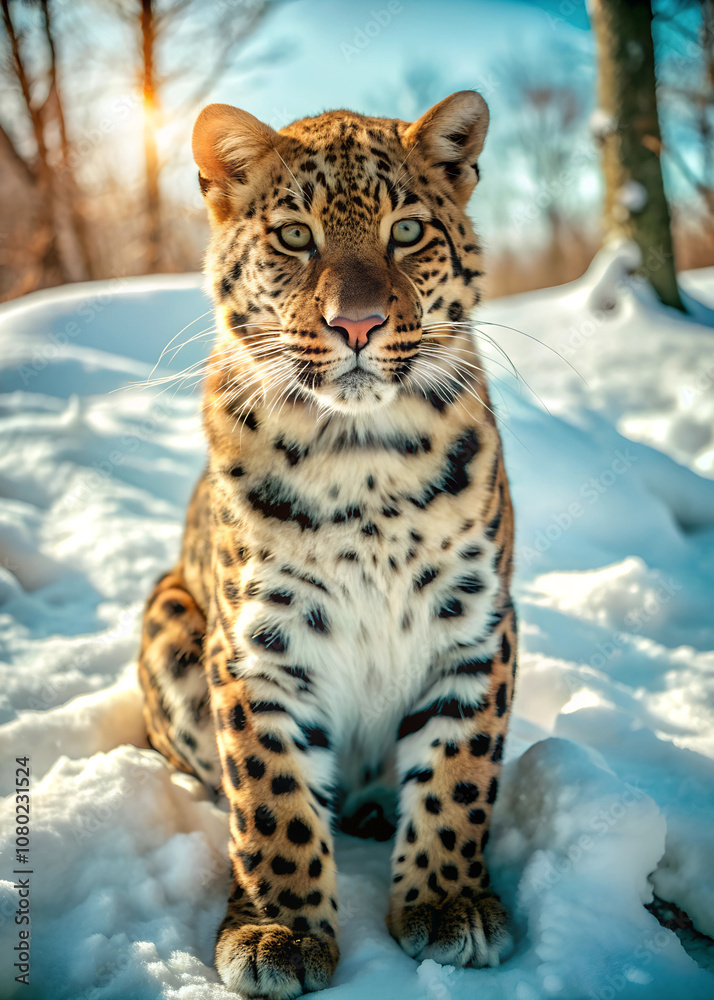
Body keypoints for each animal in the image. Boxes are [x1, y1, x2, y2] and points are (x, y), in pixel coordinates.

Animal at [138, 90, 517, 999]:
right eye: (294, 236)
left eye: (406, 231)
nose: (358, 324)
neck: (361, 454)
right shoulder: (257, 646)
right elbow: (269, 798)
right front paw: (278, 929)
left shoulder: (477, 626)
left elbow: (460, 774)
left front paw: (447, 900)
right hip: (167, 616)